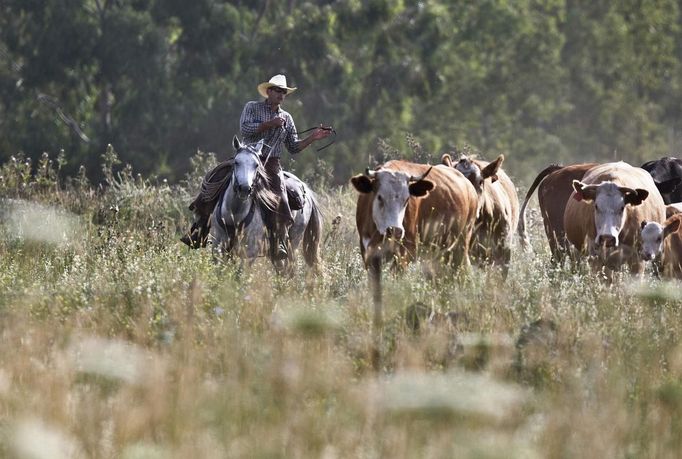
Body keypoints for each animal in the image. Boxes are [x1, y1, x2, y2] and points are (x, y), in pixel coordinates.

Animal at [209, 137, 322, 274]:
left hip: (293, 241)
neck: (234, 215)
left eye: (256, 165)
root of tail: (305, 190)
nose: (244, 189)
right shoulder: (218, 250)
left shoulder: (249, 254)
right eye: (236, 162)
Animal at [348, 160, 476, 322]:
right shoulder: (369, 256)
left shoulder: (404, 254)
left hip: (461, 245)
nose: (395, 230)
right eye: (380, 197)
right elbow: (376, 291)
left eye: (406, 200)